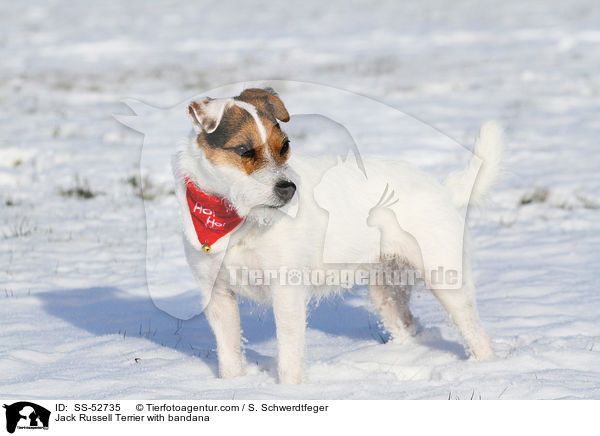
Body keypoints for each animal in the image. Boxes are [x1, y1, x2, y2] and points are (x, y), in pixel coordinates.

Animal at [172, 87, 502, 384]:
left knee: (477, 334)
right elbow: (229, 354)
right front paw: (233, 385)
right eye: (244, 150)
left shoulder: (286, 292)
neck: (237, 218)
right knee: (406, 325)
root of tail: (442, 188)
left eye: (285, 145)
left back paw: (485, 370)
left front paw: (289, 392)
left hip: (446, 280)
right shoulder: (217, 296)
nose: (288, 189)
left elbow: (290, 355)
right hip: (385, 290)